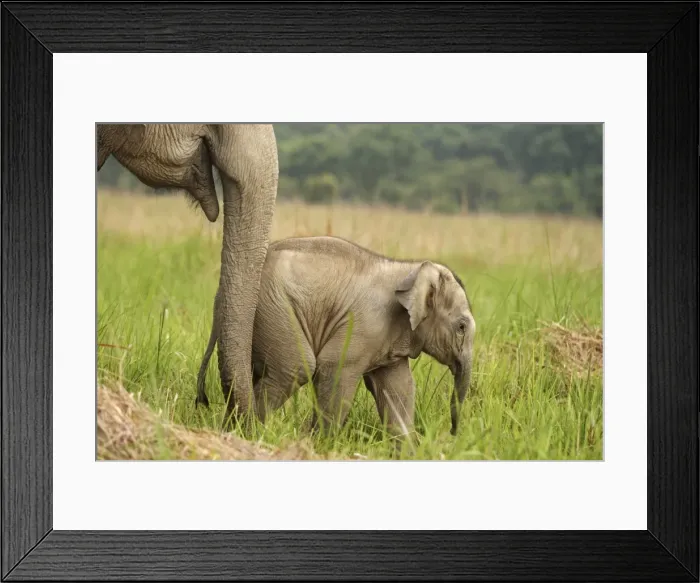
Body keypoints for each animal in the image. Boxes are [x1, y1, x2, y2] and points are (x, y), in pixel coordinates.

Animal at [196, 236, 476, 447]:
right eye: (461, 327)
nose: (452, 433)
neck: (411, 268)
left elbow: (399, 389)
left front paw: (408, 451)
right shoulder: (364, 324)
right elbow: (336, 370)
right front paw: (317, 444)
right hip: (273, 308)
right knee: (295, 368)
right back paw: (250, 434)